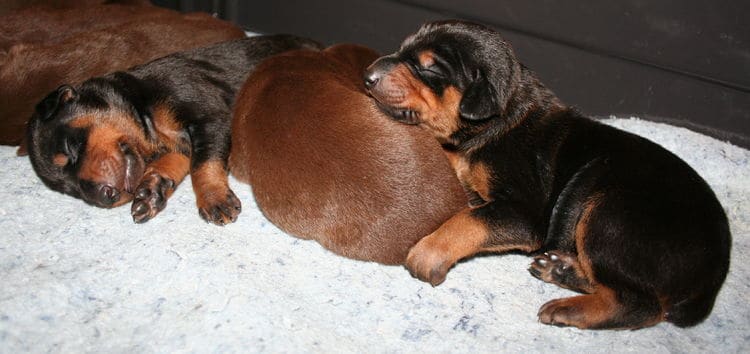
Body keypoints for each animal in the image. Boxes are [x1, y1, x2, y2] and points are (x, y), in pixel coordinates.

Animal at [25, 35, 320, 224]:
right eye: (70, 190)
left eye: (70, 149)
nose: (103, 197)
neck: (144, 111)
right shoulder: (180, 145)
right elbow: (174, 163)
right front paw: (151, 191)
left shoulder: (210, 117)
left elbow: (203, 164)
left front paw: (214, 199)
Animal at [368, 20, 732, 330]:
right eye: (402, 49)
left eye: (429, 66)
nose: (368, 75)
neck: (495, 120)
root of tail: (713, 279)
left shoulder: (525, 212)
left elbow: (469, 220)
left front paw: (429, 252)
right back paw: (560, 268)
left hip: (610, 215)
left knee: (638, 303)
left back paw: (568, 308)